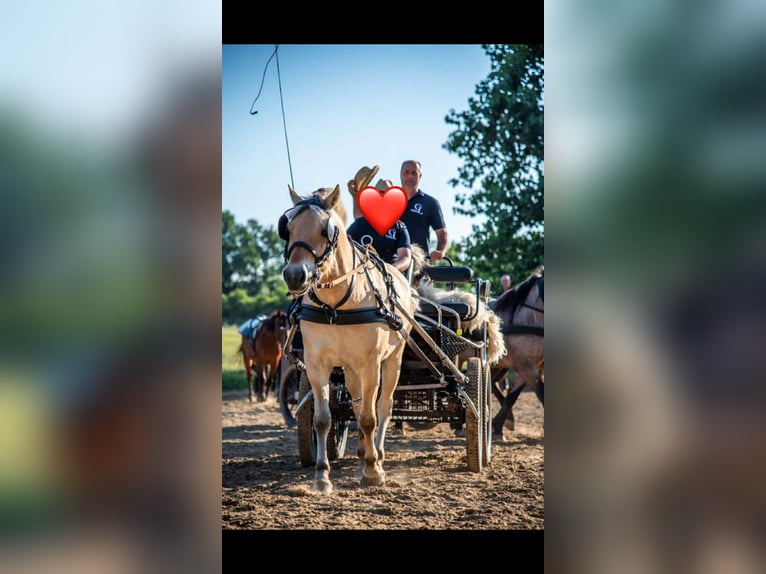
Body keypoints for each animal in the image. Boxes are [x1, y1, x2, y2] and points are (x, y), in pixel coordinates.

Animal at [280, 184, 415, 495]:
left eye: (325, 230)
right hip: (351, 368)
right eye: (287, 228)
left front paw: (373, 472)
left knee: (383, 406)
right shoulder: (316, 364)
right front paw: (321, 476)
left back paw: (377, 456)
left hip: (393, 359)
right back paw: (362, 455)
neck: (337, 305)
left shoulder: (371, 364)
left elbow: (369, 417)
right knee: (355, 403)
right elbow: (323, 419)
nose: (295, 276)